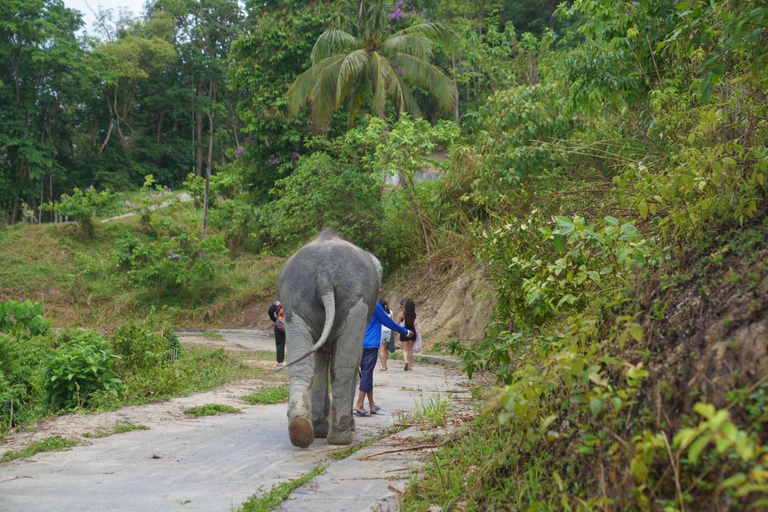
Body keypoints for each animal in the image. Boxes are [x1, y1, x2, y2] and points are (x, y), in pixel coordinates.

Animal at [276, 228, 381, 448]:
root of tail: (323, 274)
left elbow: (319, 359)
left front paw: (319, 431)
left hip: (296, 301)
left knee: (302, 364)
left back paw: (301, 431)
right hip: (356, 302)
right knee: (344, 365)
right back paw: (341, 439)